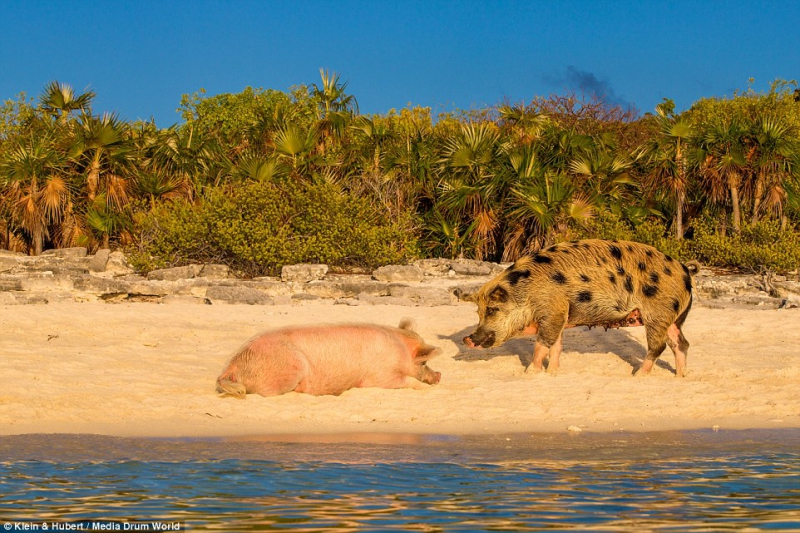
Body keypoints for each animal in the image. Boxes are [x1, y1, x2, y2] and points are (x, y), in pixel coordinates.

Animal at [216, 318, 440, 396]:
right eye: (424, 362)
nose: (439, 375)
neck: (400, 349)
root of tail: (233, 365)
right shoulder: (380, 376)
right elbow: (409, 381)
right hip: (289, 366)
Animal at [466, 239, 696, 376]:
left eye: (492, 309)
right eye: (478, 312)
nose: (467, 338)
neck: (528, 291)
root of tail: (685, 271)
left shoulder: (552, 310)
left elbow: (542, 344)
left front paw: (530, 373)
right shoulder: (561, 314)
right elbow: (556, 345)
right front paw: (552, 373)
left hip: (658, 312)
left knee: (659, 346)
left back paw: (637, 375)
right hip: (674, 317)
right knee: (681, 343)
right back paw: (681, 376)